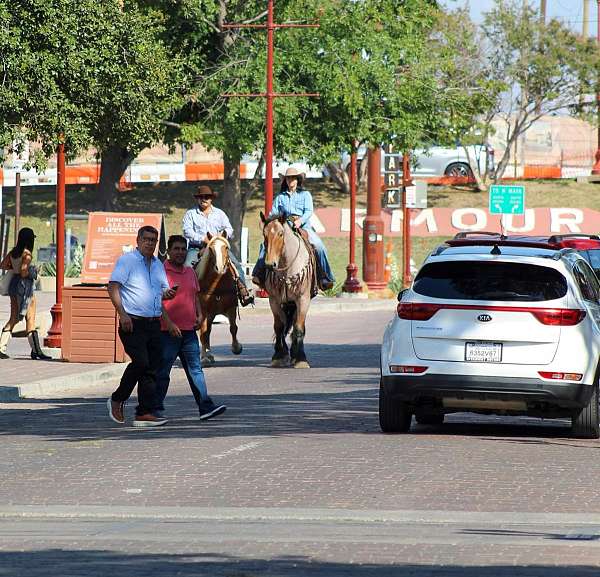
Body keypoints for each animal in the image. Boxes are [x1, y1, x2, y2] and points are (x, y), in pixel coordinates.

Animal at [195, 233, 241, 364]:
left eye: (226, 247)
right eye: (211, 249)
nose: (219, 267)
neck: (217, 284)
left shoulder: (231, 307)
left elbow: (233, 328)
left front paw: (236, 347)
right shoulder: (204, 311)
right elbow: (203, 333)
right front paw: (204, 357)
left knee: (209, 330)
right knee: (204, 332)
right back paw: (206, 355)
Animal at [260, 213, 316, 368]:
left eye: (281, 234)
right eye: (264, 234)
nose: (270, 264)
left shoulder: (303, 299)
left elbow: (299, 328)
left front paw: (301, 358)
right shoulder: (274, 300)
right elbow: (279, 326)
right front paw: (279, 355)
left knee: (296, 325)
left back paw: (296, 353)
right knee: (285, 324)